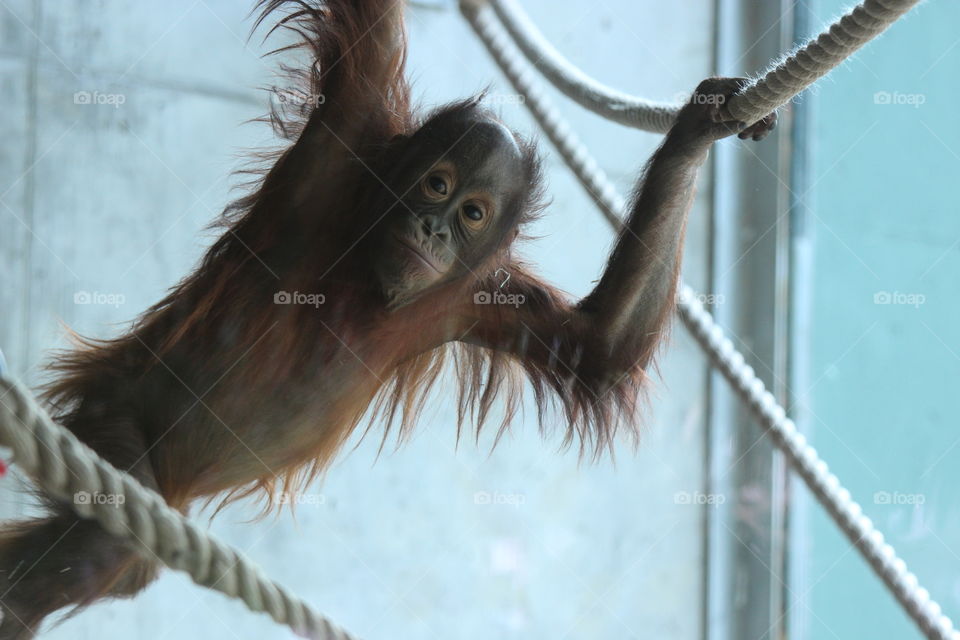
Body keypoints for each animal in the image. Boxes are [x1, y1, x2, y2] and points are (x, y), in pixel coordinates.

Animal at [0, 0, 776, 636]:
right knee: (106, 537)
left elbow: (600, 344)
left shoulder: (473, 300)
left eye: (473, 214)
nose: (434, 228)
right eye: (436, 183)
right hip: (113, 409)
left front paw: (696, 129)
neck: (369, 275)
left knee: (120, 560)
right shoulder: (351, 118)